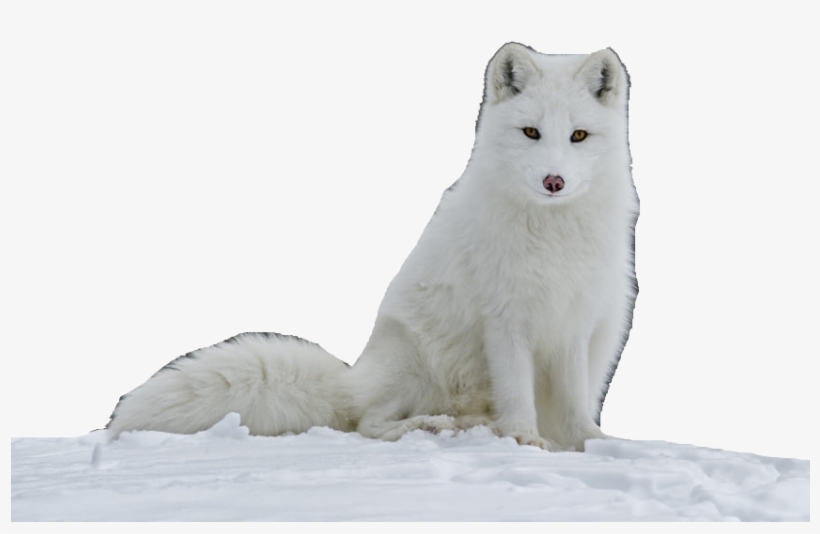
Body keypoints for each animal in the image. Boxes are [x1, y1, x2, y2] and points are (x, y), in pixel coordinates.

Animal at [106, 43, 639, 452]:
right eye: (531, 132)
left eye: (578, 135)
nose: (554, 181)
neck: (552, 234)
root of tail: (354, 378)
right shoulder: (505, 321)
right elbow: (517, 394)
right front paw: (526, 439)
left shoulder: (575, 323)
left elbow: (574, 404)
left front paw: (593, 443)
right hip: (414, 361)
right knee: (368, 423)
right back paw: (434, 425)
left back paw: (470, 424)